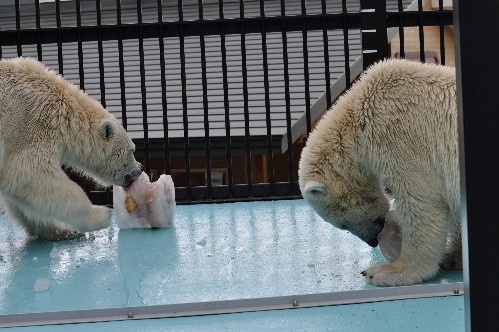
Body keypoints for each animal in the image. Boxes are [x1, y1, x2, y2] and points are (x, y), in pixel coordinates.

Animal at [0, 57, 143, 241]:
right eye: (132, 150)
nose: (140, 169)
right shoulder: (27, 130)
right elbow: (30, 174)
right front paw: (100, 216)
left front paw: (60, 230)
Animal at [298, 58, 458, 286]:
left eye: (342, 225)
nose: (372, 241)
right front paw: (454, 257)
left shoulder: (401, 137)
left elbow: (422, 203)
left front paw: (388, 271)